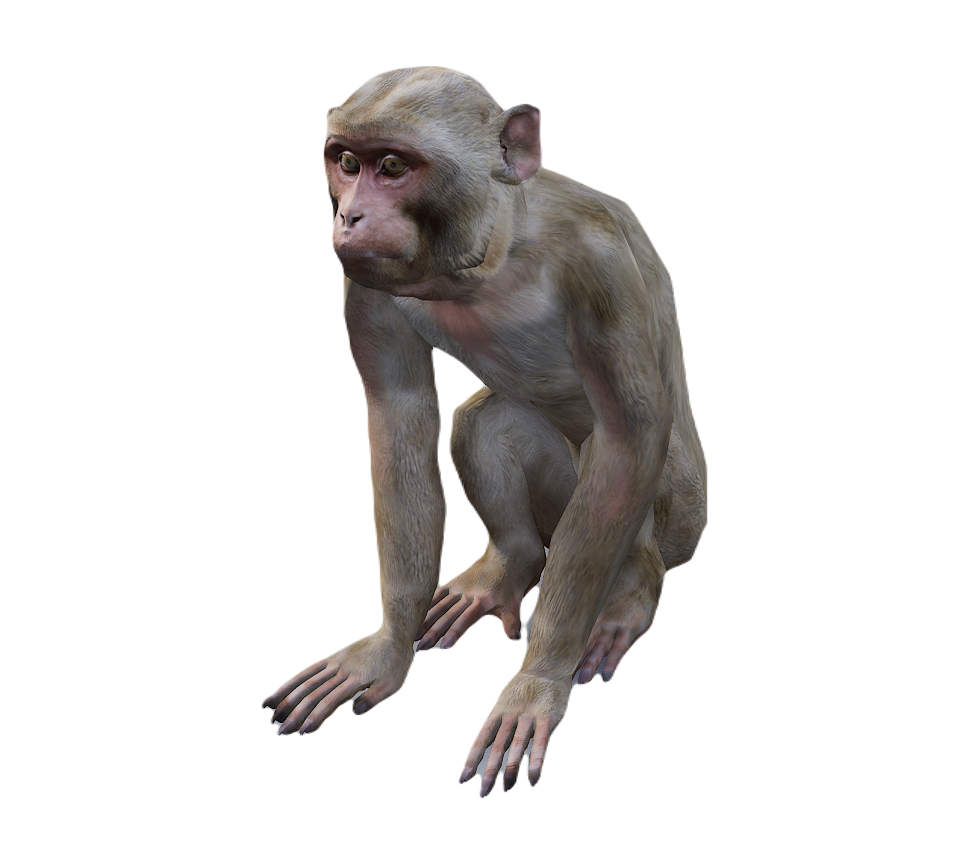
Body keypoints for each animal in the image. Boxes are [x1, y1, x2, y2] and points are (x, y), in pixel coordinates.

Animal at [262, 67, 707, 796]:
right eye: (347, 164)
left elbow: (628, 438)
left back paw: (632, 591)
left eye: (392, 167)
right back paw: (512, 562)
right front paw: (389, 644)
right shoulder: (367, 284)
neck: (493, 258)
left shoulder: (601, 269)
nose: (349, 215)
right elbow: (400, 413)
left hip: (674, 517)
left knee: (614, 471)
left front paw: (538, 680)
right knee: (486, 421)